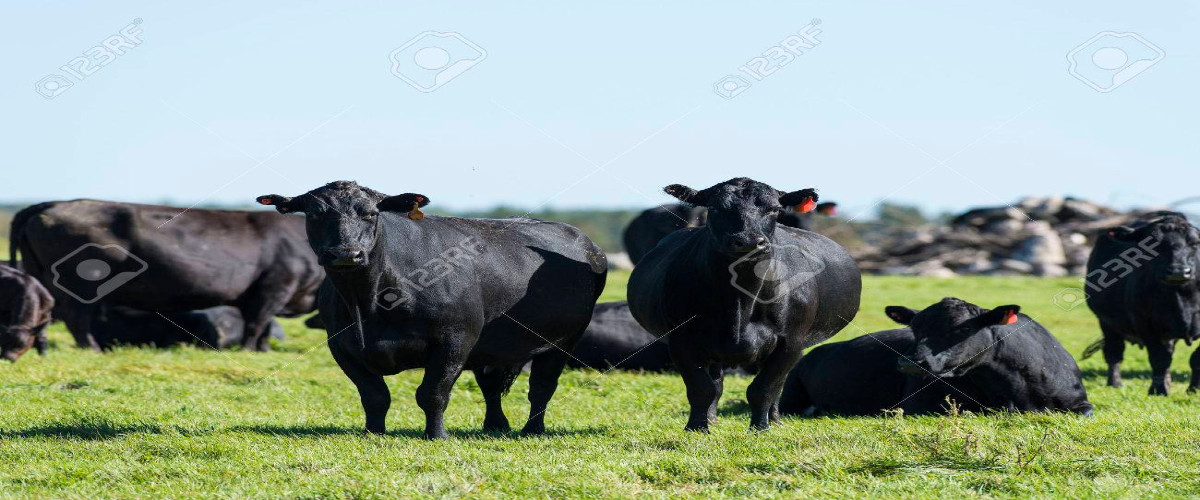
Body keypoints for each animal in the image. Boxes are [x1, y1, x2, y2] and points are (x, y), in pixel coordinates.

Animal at [9, 200, 324, 352]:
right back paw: (94, 349)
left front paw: (263, 350)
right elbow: (257, 324)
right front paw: (249, 350)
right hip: (82, 287)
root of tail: (52, 203)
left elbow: (265, 327)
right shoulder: (275, 287)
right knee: (77, 319)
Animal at [256, 181, 607, 439]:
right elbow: (374, 395)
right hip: (493, 346)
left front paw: (436, 435)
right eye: (314, 214)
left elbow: (432, 393)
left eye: (371, 213)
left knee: (541, 388)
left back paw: (532, 429)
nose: (346, 253)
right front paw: (374, 432)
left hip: (562, 342)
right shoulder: (342, 346)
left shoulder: (454, 340)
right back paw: (495, 426)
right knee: (491, 386)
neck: (370, 303)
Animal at [1086, 211, 1200, 395]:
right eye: (1151, 244)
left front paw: (1194, 389)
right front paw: (1158, 391)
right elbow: (1159, 358)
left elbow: (1195, 358)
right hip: (1106, 323)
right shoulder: (1145, 324)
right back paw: (1115, 383)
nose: (1178, 272)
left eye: (1195, 243)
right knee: (1114, 353)